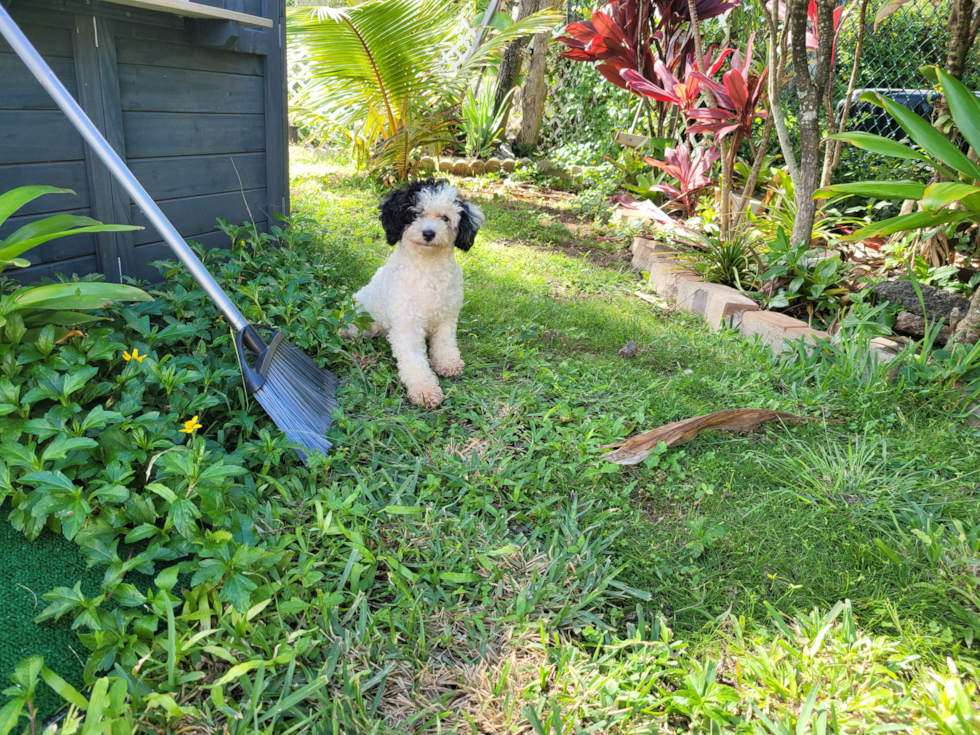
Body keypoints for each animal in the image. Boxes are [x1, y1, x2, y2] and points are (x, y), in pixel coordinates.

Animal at [340, 179, 486, 408]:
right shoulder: (407, 325)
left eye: (445, 218)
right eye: (415, 213)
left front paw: (448, 363)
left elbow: (445, 344)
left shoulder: (447, 317)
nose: (429, 233)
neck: (427, 267)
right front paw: (425, 391)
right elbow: (415, 360)